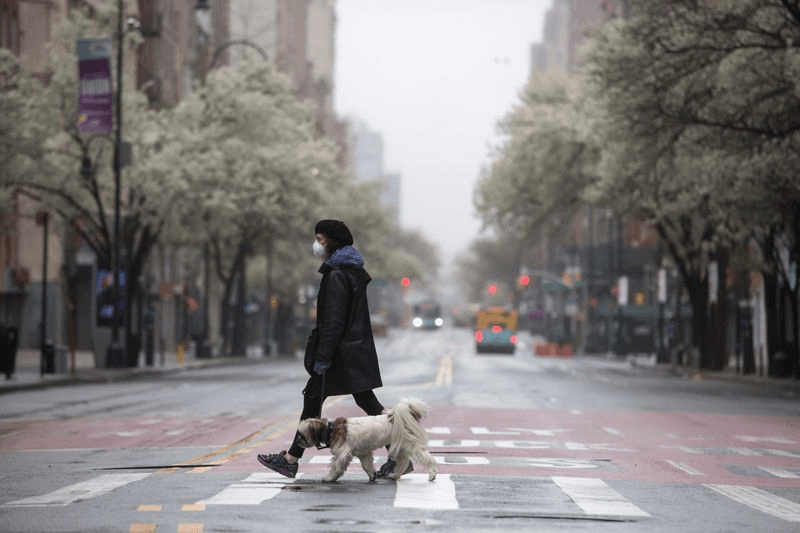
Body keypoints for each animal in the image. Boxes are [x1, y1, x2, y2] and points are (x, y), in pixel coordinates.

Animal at [296, 394, 440, 482]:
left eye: (302, 435)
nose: (297, 441)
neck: (330, 430)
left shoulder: (343, 454)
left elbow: (336, 467)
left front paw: (329, 477)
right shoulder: (364, 454)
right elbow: (367, 466)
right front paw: (372, 475)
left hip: (409, 444)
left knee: (426, 458)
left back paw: (432, 473)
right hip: (400, 447)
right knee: (403, 462)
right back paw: (396, 474)